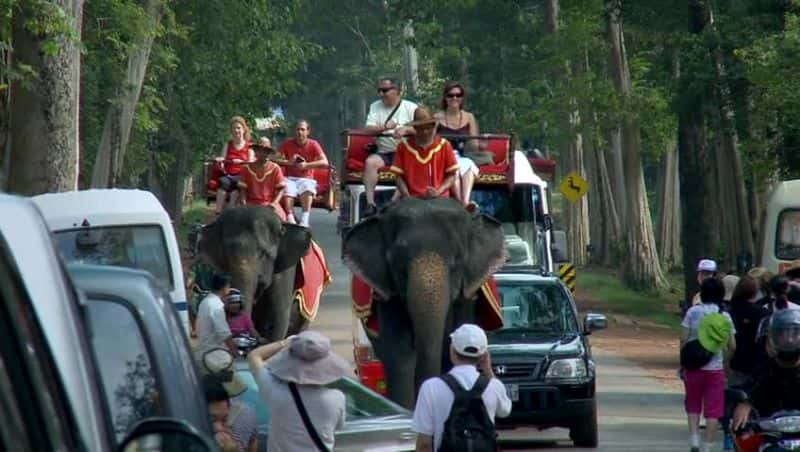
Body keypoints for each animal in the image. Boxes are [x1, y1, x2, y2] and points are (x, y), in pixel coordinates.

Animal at [340, 196, 504, 408]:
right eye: (399, 266)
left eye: (456, 264)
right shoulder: (388, 294)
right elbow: (400, 355)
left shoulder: (467, 294)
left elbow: (449, 349)